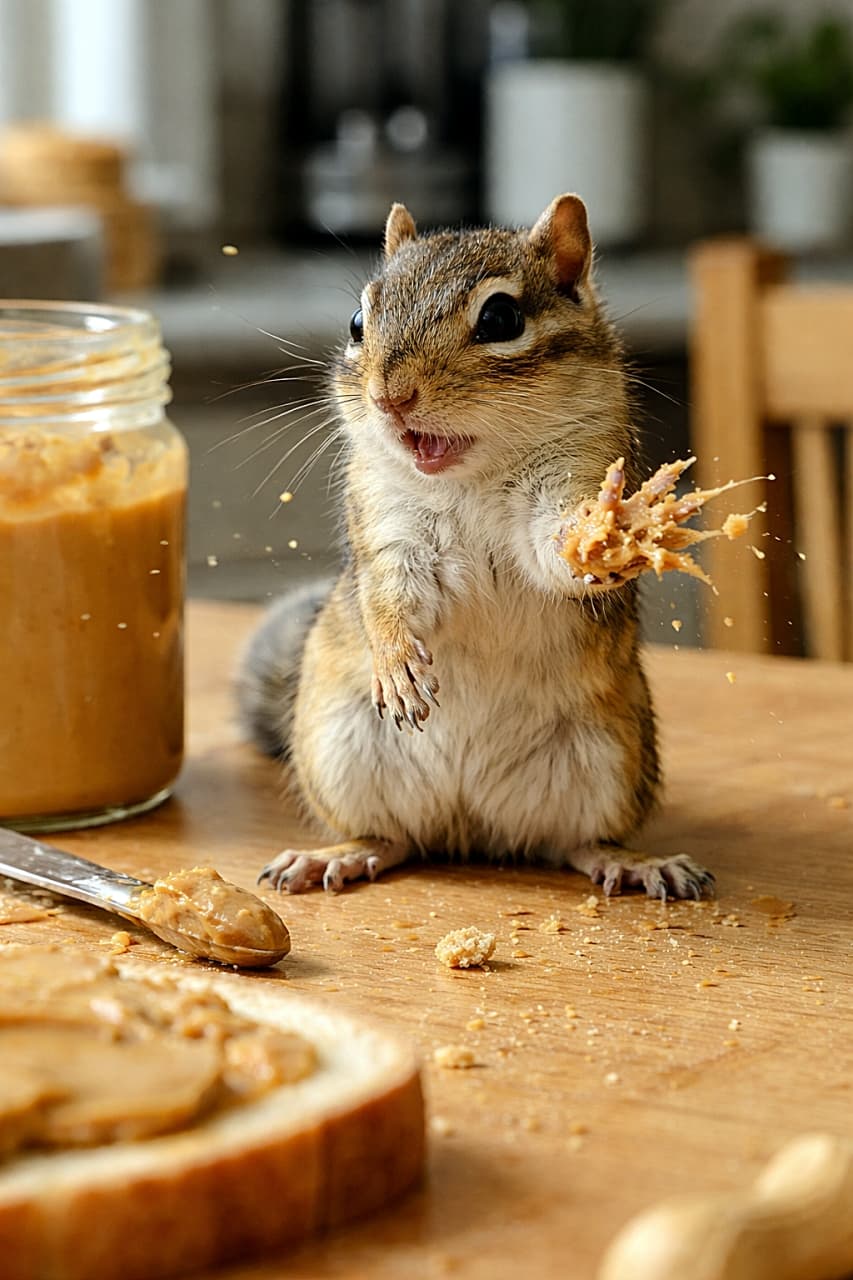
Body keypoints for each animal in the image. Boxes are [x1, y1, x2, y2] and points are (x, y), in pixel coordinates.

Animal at [237, 194, 714, 901]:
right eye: (357, 321)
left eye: (501, 318)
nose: (390, 397)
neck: (473, 477)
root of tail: (471, 829)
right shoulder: (389, 522)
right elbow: (387, 594)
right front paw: (397, 664)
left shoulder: (572, 475)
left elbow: (555, 553)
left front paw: (604, 540)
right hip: (336, 748)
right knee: (395, 837)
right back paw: (339, 854)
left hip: (611, 761)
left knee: (572, 843)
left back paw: (633, 862)